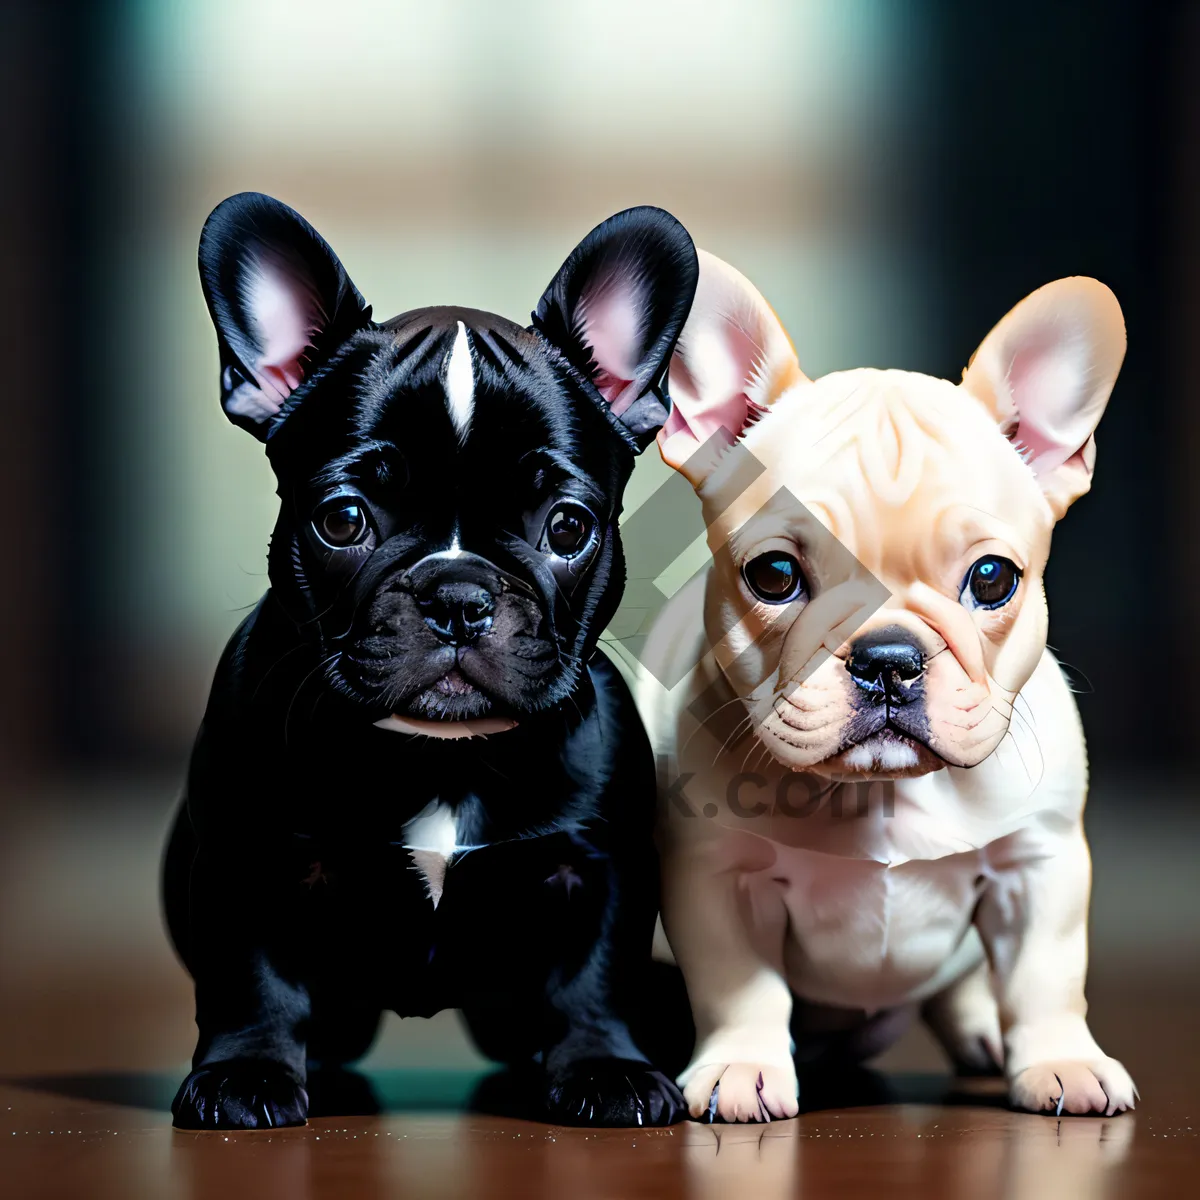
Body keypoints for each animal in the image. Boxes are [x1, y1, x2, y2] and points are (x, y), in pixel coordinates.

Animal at [164, 192, 700, 1128]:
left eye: (568, 526)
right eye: (342, 518)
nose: (457, 595)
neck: (442, 758)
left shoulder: (602, 864)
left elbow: (593, 978)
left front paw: (606, 1069)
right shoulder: (244, 854)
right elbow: (253, 977)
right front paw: (245, 1073)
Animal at [638, 253, 1132, 1123]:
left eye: (993, 579)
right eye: (773, 575)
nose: (889, 658)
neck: (886, 796)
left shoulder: (1039, 867)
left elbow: (1044, 977)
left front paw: (1061, 1060)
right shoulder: (717, 880)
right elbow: (742, 987)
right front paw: (741, 1066)